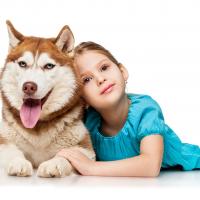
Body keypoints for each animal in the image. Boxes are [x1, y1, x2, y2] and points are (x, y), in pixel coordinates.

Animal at [0, 21, 95, 177]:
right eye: (22, 64)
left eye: (49, 66)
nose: (29, 87)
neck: (38, 126)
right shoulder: (4, 140)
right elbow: (12, 151)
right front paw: (19, 162)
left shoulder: (85, 147)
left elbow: (69, 155)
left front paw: (54, 163)